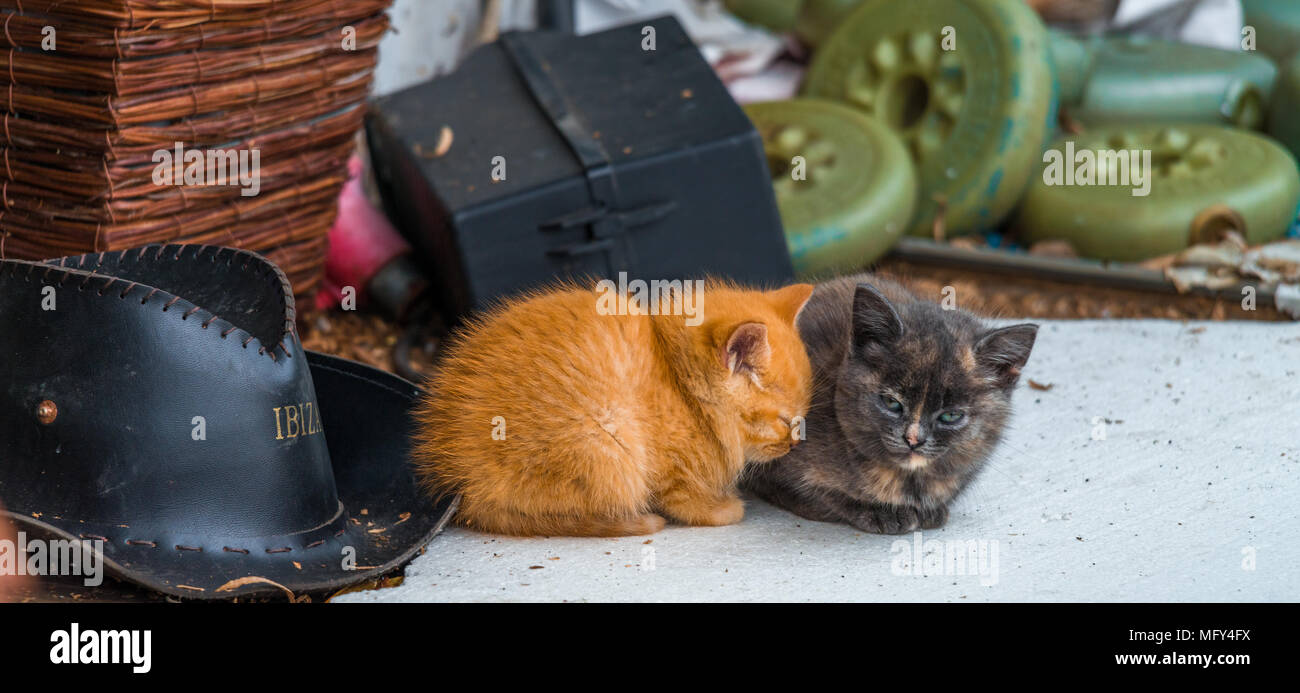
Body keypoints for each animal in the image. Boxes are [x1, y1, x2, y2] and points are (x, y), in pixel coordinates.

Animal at [410, 279, 811, 535]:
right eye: (784, 419)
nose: (795, 445)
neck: (680, 386)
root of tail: (463, 482)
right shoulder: (667, 467)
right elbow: (683, 498)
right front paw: (720, 509)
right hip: (604, 439)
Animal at [743, 273, 1034, 533]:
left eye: (950, 416)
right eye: (891, 402)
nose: (913, 439)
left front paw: (928, 510)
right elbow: (819, 493)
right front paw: (880, 513)